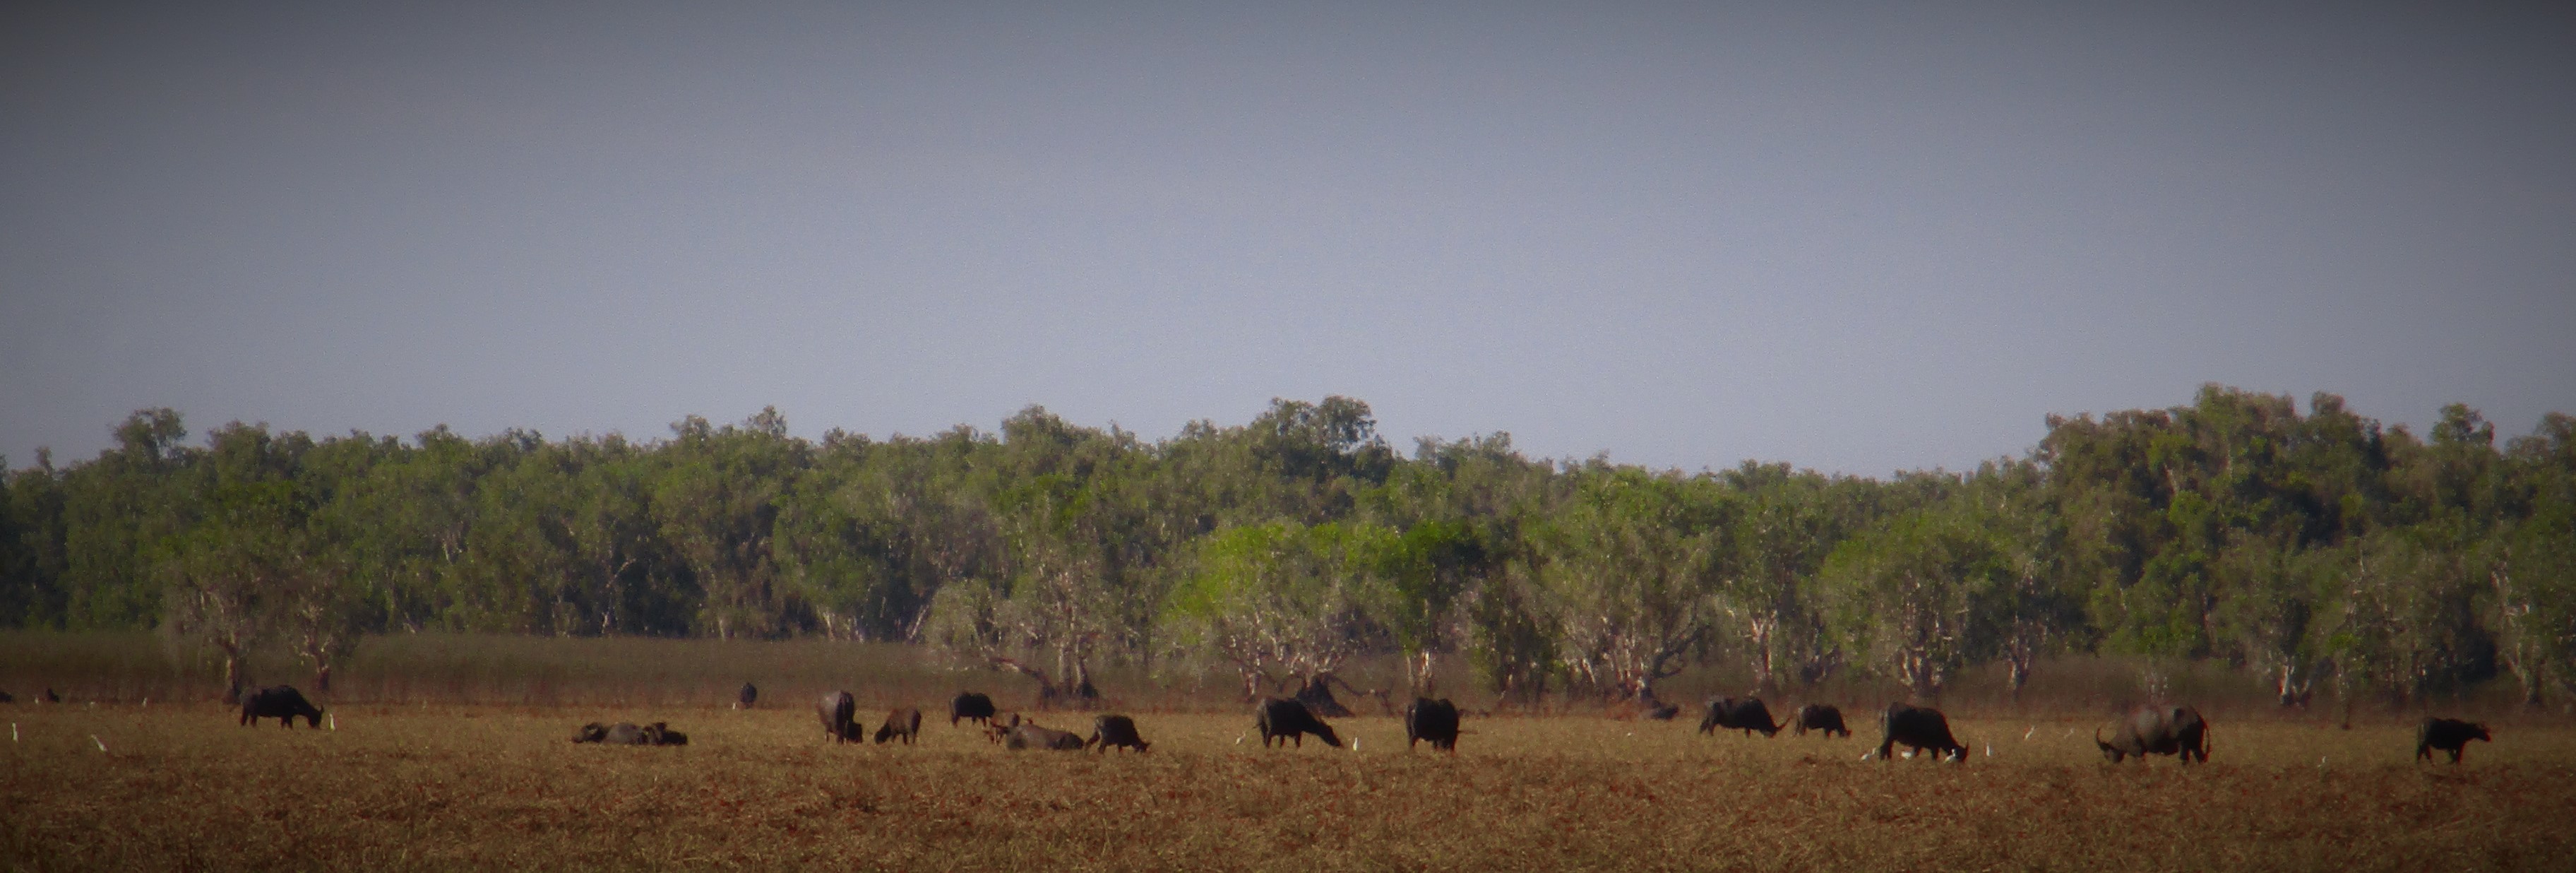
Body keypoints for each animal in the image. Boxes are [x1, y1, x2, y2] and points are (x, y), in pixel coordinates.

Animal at [1875, 706, 1968, 767]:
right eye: (1961, 756)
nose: (1962, 766)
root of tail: (1885, 712)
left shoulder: (1918, 745)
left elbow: (1914, 754)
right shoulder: (1934, 748)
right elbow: (1933, 758)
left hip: (1889, 738)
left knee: (1888, 749)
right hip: (1889, 737)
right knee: (1883, 749)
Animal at [2092, 706, 2215, 767]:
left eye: (2106, 755)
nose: (2111, 765)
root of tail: (2198, 717)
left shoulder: (2138, 752)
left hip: (2183, 744)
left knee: (2184, 759)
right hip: (2195, 745)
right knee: (2200, 758)